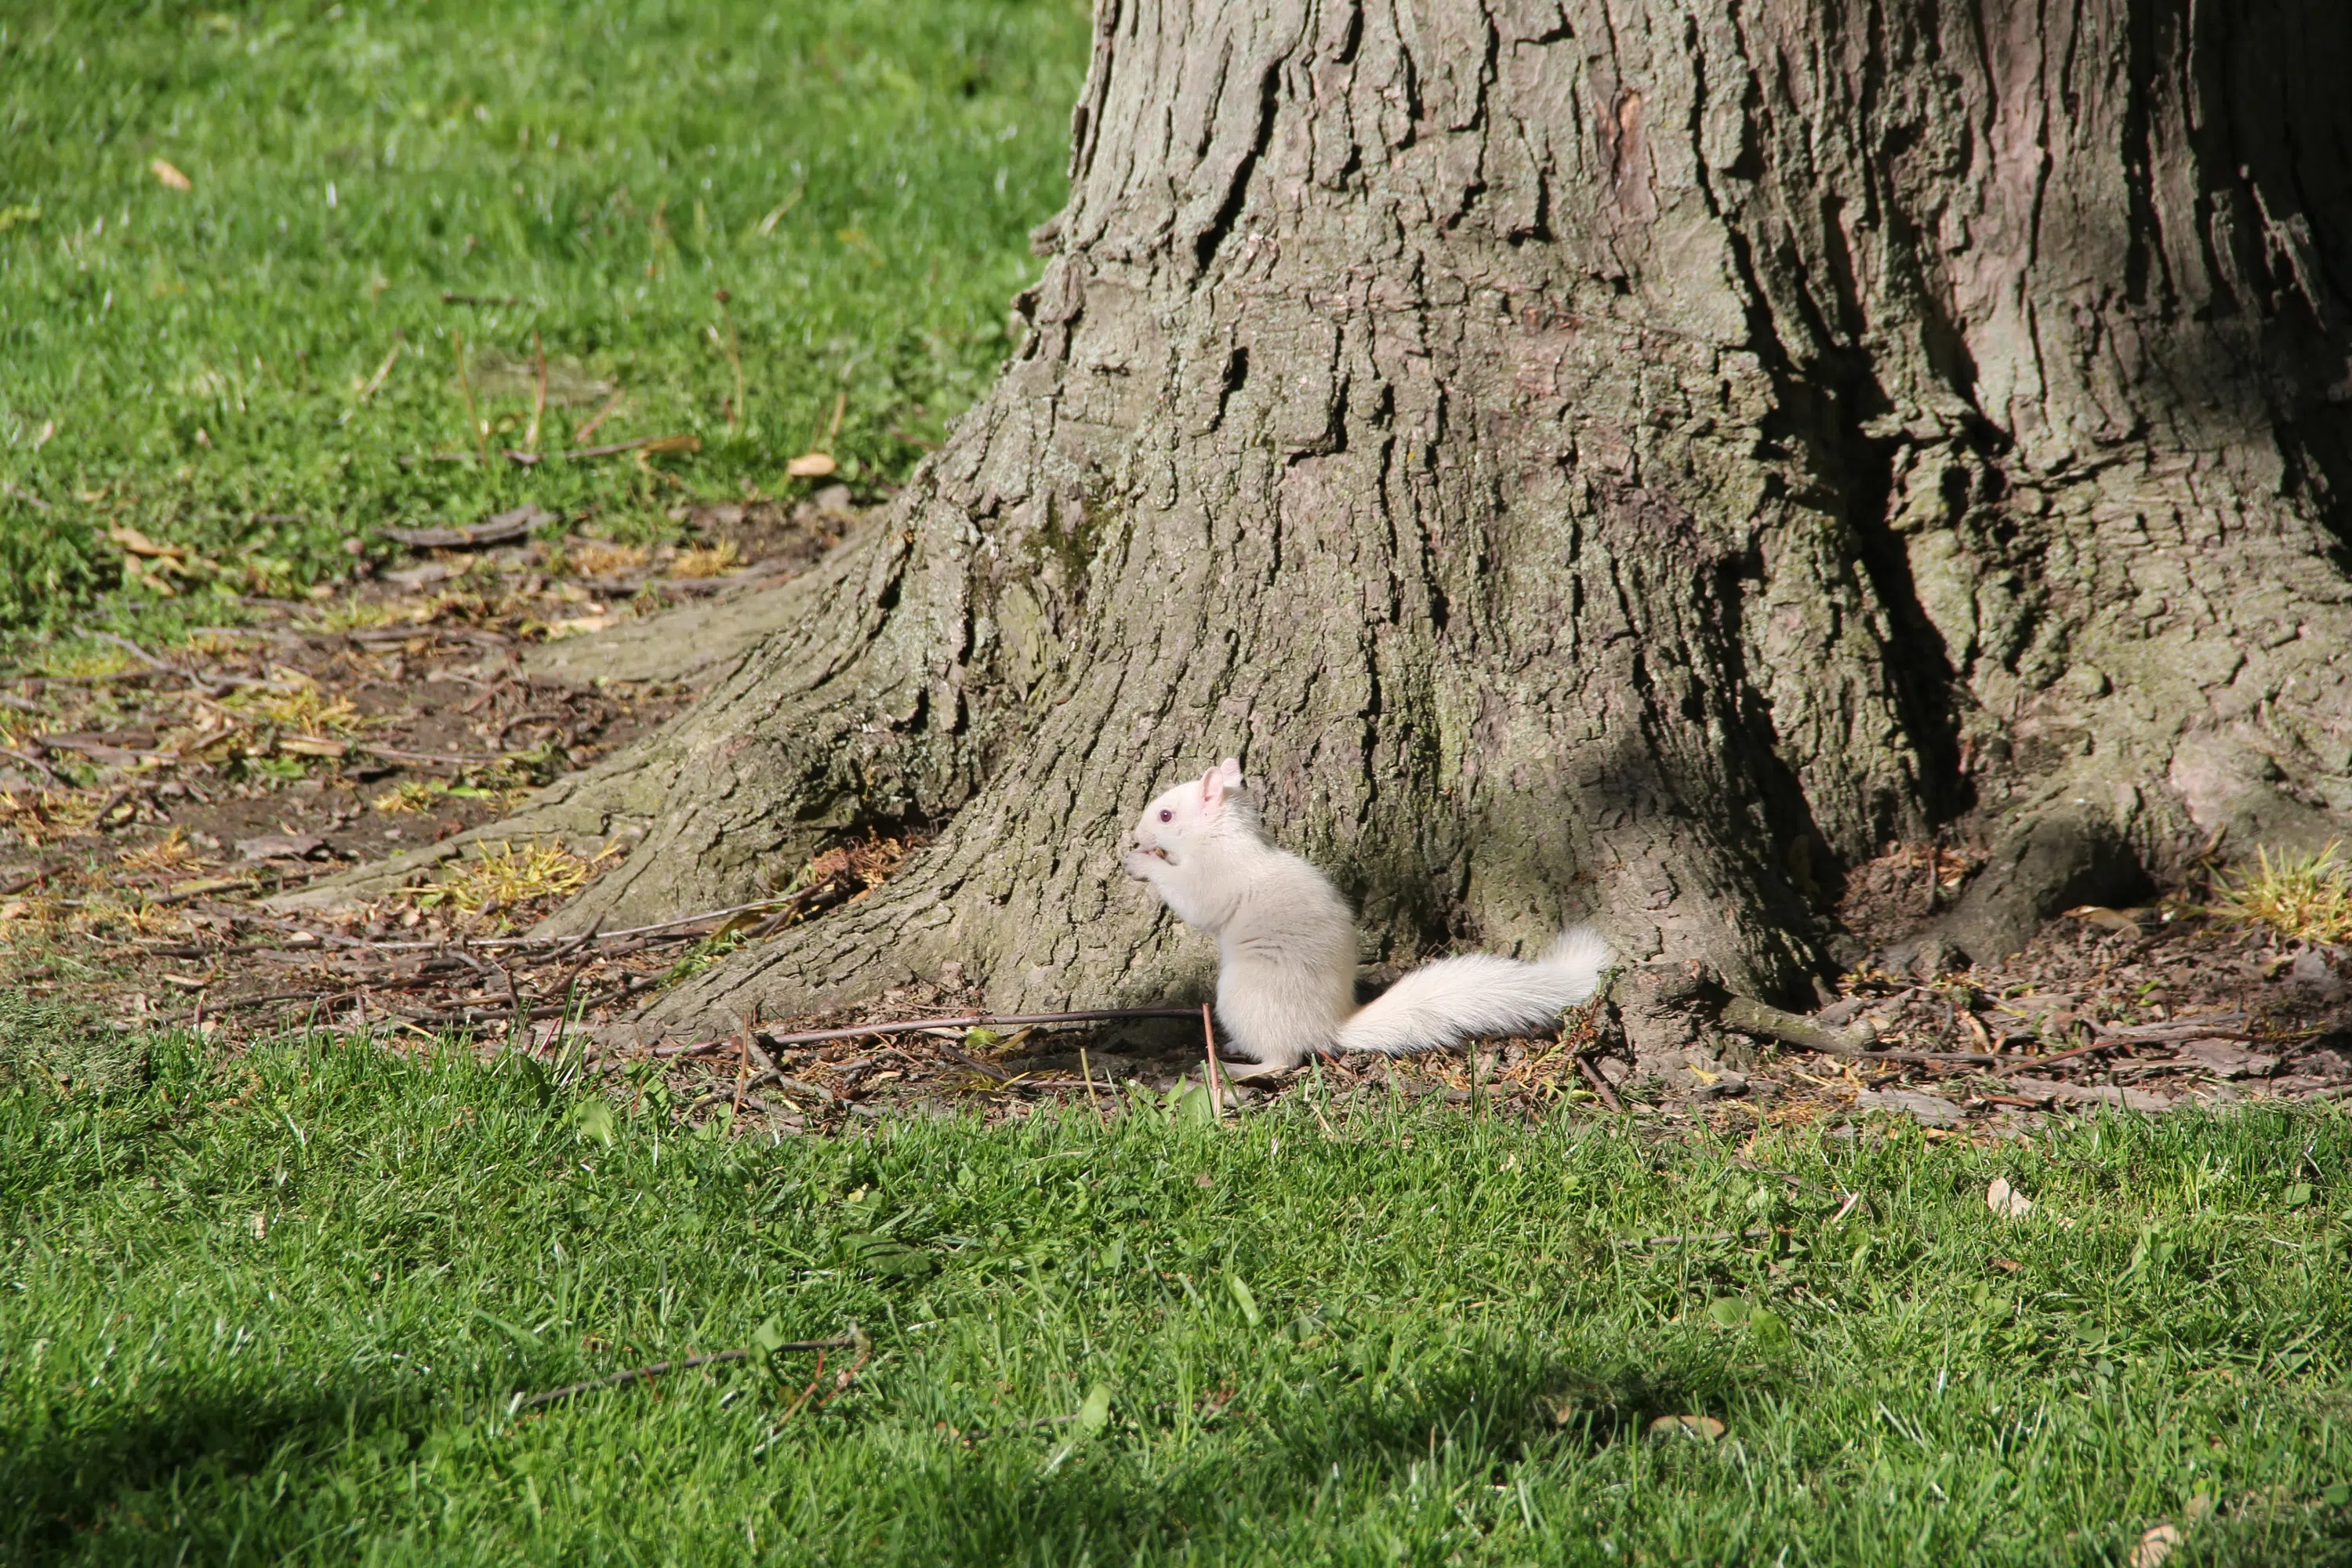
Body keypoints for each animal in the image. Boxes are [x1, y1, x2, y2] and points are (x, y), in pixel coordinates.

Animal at [1110, 757, 1609, 1072]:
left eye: (1166, 815)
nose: (1134, 833)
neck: (1225, 838)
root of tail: (1329, 1026)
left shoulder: (1218, 876)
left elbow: (1195, 903)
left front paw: (1142, 862)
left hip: (1247, 996)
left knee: (1284, 1060)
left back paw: (1236, 1071)